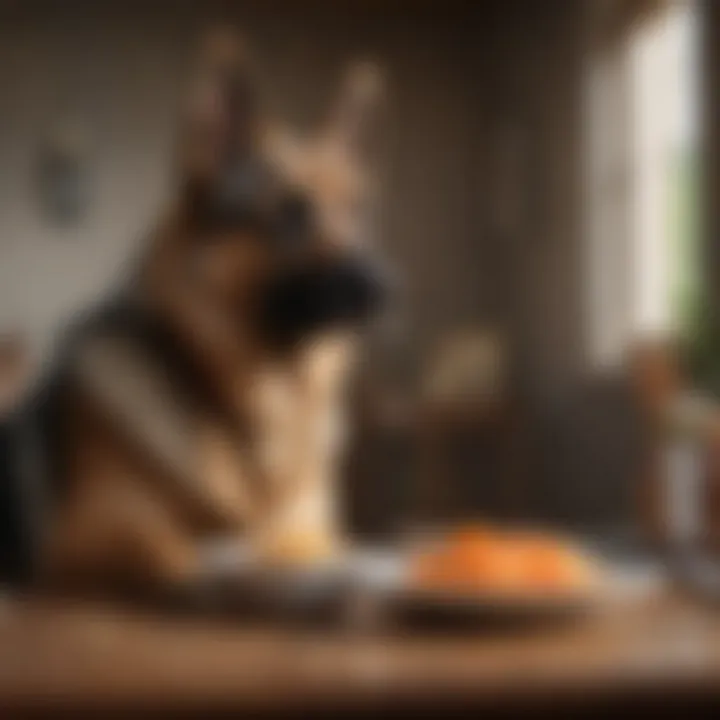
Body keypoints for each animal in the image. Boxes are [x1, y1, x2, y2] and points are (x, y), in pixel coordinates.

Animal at [2, 29, 388, 596]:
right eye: (290, 211)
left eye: (358, 212)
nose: (385, 288)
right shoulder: (91, 533)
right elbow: (181, 553)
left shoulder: (312, 529)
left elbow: (320, 546)